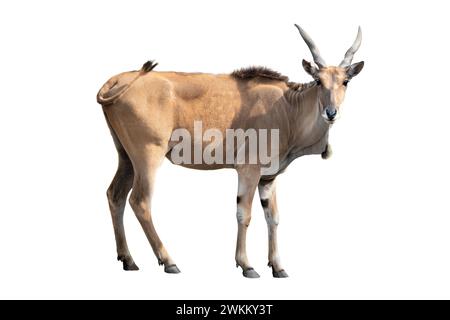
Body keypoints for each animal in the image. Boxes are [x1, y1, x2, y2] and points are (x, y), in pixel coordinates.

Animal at [96, 25, 364, 278]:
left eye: (345, 81)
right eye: (319, 81)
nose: (331, 112)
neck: (288, 106)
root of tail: (115, 81)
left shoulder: (268, 178)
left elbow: (273, 218)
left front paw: (278, 267)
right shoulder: (248, 170)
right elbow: (243, 214)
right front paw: (247, 265)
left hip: (126, 157)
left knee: (115, 195)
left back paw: (128, 260)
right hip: (148, 157)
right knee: (140, 201)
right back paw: (169, 261)